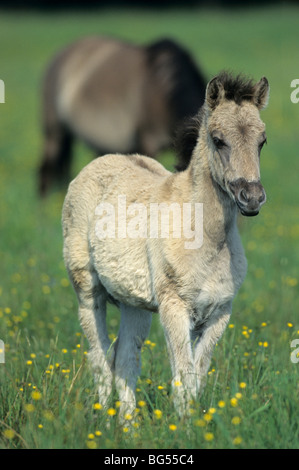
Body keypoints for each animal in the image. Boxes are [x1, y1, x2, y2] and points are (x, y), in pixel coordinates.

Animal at [63, 71, 270, 416]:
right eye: (218, 140)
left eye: (262, 141)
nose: (251, 198)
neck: (206, 240)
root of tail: (99, 162)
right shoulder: (174, 307)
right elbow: (183, 376)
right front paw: (184, 424)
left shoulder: (220, 311)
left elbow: (198, 374)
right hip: (87, 291)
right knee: (99, 357)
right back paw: (104, 419)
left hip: (135, 305)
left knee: (125, 359)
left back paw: (128, 424)